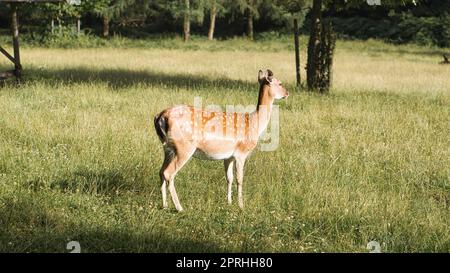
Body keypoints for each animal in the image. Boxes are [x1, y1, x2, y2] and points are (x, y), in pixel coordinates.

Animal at [154, 69, 288, 211]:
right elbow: (239, 179)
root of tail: (160, 117)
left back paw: (164, 205)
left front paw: (228, 202)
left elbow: (229, 178)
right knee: (168, 173)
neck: (254, 123)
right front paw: (241, 205)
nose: (287, 93)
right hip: (184, 147)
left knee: (161, 171)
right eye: (280, 83)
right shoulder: (241, 152)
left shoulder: (228, 156)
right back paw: (179, 207)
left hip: (167, 148)